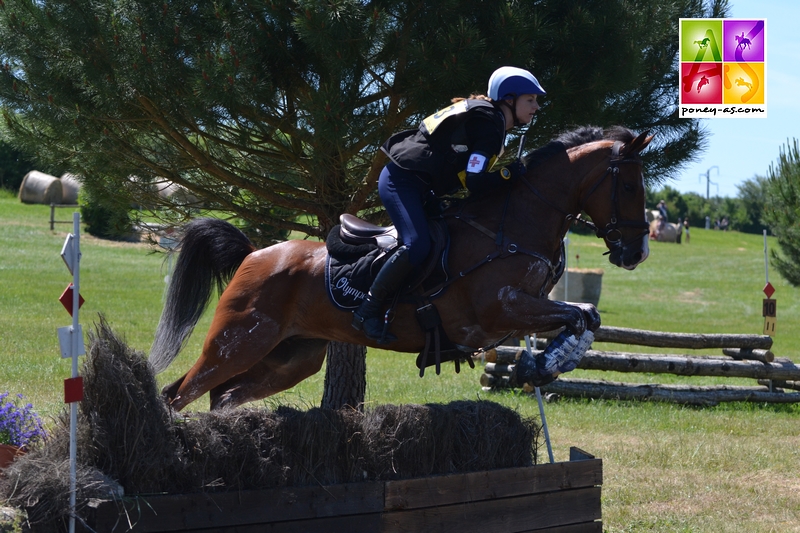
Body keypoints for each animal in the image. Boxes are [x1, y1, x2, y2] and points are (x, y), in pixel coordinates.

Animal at [152, 127, 656, 410]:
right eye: (631, 186)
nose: (636, 254)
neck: (511, 224)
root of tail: (255, 253)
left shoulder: (524, 310)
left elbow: (586, 315)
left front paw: (549, 363)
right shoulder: (498, 312)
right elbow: (577, 314)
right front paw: (549, 363)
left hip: (290, 357)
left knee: (222, 396)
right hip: (238, 342)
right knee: (179, 394)